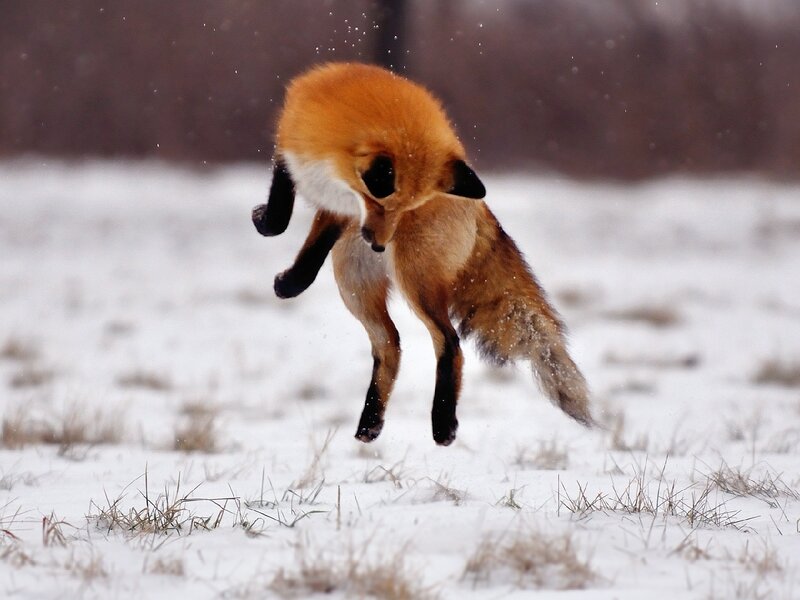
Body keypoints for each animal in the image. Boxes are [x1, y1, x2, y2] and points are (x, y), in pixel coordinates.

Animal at [252, 62, 592, 445]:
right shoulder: (318, 181)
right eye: (381, 203)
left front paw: (266, 231)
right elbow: (304, 251)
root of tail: (481, 206)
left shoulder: (329, 192)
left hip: (413, 280)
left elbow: (282, 222)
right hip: (353, 283)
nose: (377, 244)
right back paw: (370, 424)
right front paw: (288, 280)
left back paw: (442, 424)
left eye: (404, 208)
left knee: (449, 341)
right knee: (391, 344)